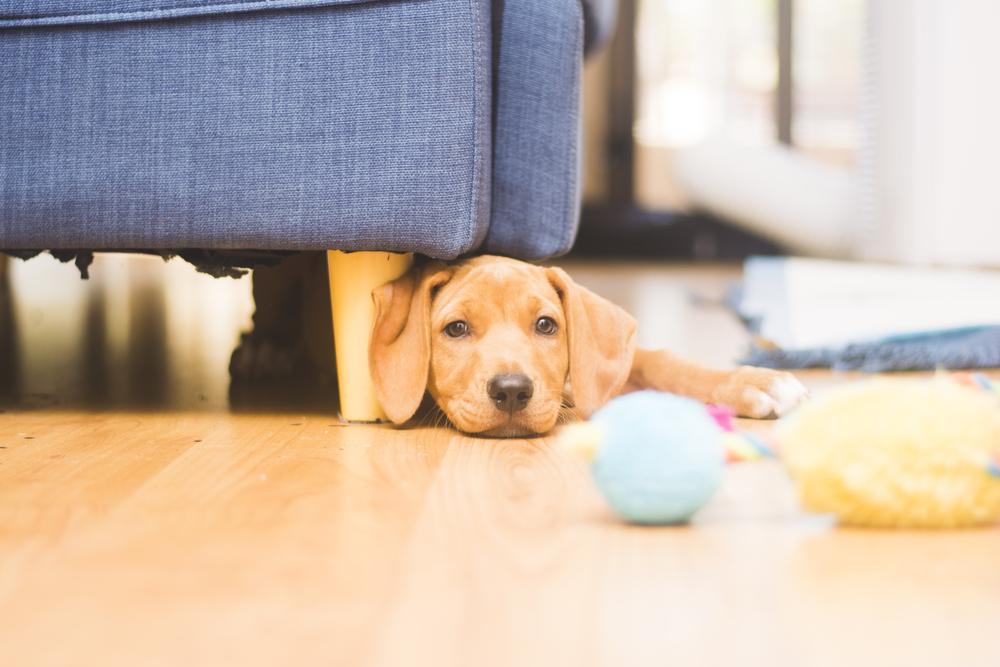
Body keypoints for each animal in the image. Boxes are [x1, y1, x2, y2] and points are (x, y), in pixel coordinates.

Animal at [236, 253, 812, 436]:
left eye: (546, 326)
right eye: (456, 330)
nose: (512, 391)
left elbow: (664, 361)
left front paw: (757, 380)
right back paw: (265, 347)